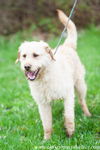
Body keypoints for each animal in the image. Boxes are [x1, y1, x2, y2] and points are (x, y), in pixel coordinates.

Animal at [16, 9, 91, 140]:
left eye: (35, 55)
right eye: (24, 56)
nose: (26, 67)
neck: (45, 78)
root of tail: (67, 45)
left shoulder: (68, 96)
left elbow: (69, 117)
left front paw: (70, 133)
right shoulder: (43, 104)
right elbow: (46, 124)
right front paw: (47, 139)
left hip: (80, 85)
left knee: (82, 101)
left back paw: (87, 114)